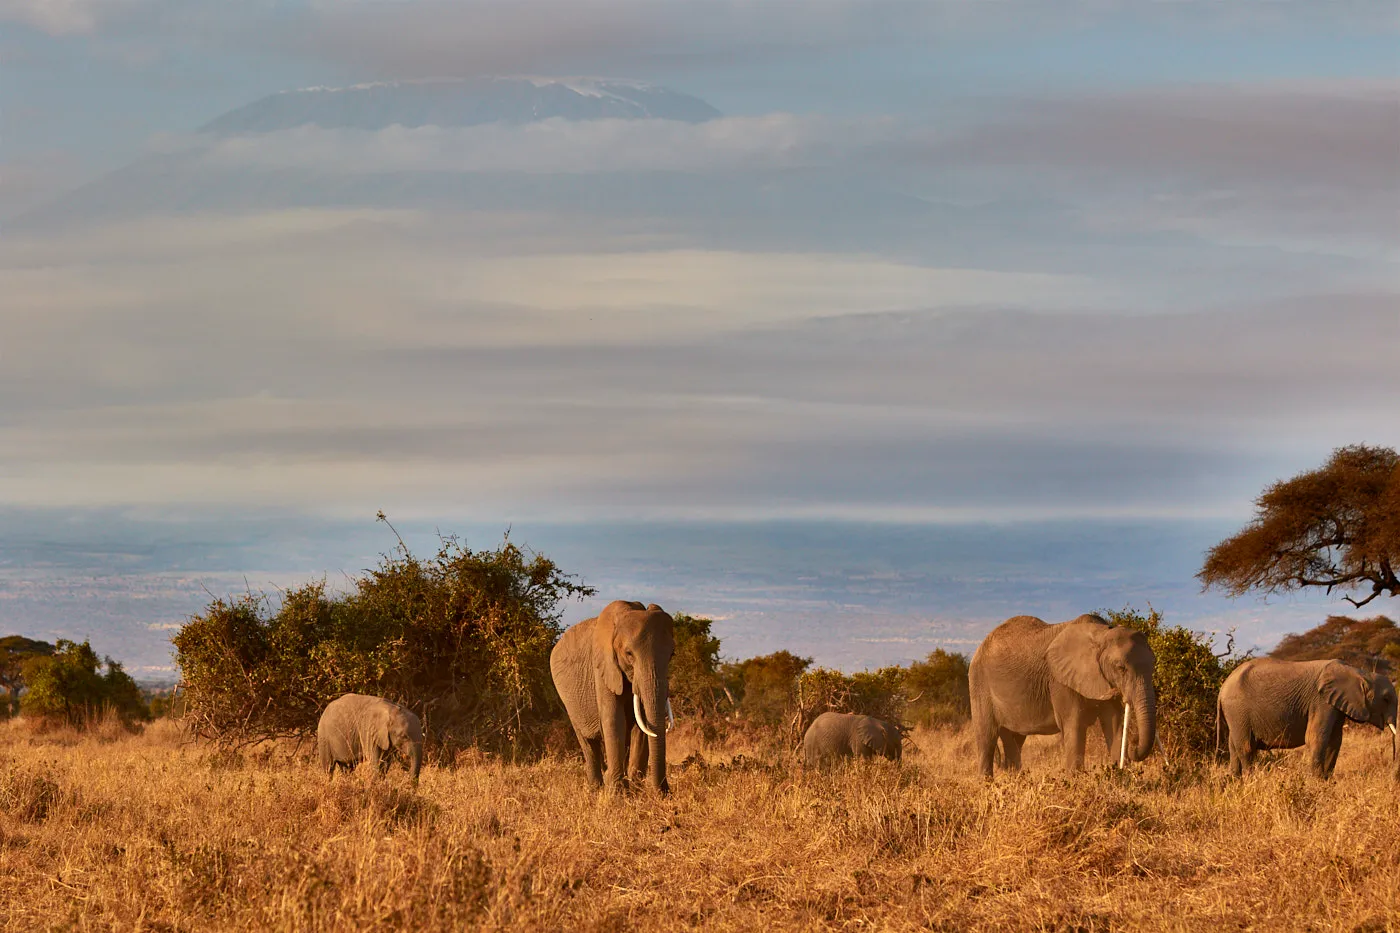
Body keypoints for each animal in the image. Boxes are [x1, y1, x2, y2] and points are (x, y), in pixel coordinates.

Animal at [550, 600, 676, 793]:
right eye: (629, 654)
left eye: (671, 655)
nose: (664, 792)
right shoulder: (603, 667)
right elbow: (614, 720)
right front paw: (617, 793)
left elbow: (642, 724)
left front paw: (636, 789)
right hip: (567, 700)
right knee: (587, 742)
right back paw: (596, 789)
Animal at [969, 614, 1157, 778]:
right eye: (1121, 668)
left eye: (1153, 665)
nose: (1133, 745)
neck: (1101, 633)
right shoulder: (1060, 681)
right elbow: (1074, 725)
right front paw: (1075, 782)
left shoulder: (1103, 679)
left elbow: (1114, 723)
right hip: (979, 684)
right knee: (987, 737)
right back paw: (986, 784)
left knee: (1015, 740)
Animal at [1216, 658, 1398, 779]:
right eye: (1386, 699)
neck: (1359, 673)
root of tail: (1222, 688)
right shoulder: (1321, 701)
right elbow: (1316, 738)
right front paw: (1316, 783)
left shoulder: (1335, 704)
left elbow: (1335, 740)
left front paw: (1326, 782)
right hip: (1237, 711)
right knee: (1246, 747)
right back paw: (1251, 780)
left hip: (1235, 715)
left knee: (1234, 748)